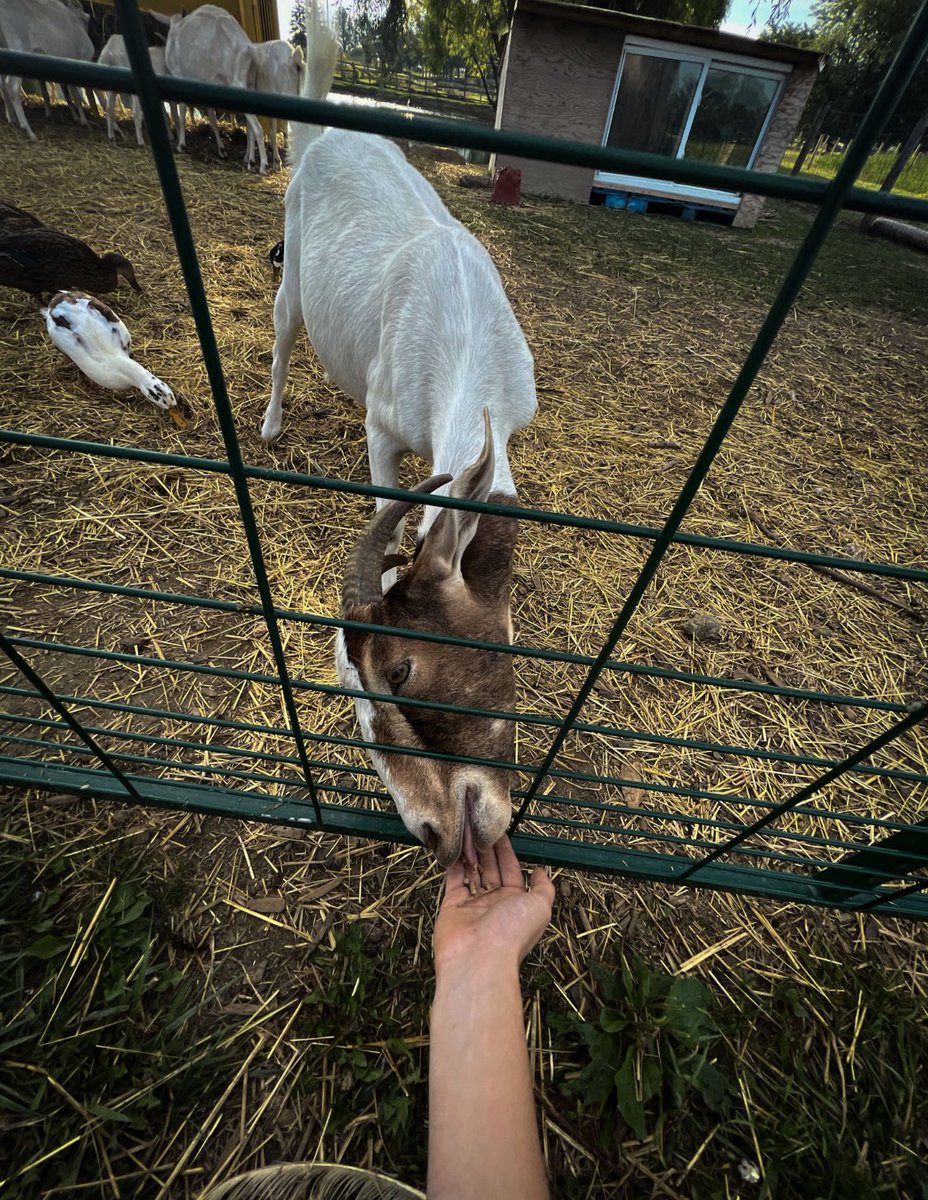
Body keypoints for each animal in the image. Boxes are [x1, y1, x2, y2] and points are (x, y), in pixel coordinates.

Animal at [0, 0, 94, 141]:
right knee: (12, 85)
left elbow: (59, 92)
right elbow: (77, 94)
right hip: (18, 48)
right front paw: (83, 120)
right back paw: (28, 129)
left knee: (3, 84)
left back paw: (12, 119)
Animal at [164, 4, 267, 174]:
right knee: (251, 126)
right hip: (249, 83)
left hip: (237, 82)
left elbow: (183, 112)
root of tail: (247, 47)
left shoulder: (181, 78)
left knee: (257, 128)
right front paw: (221, 149)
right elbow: (212, 118)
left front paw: (181, 145)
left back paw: (262, 165)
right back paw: (250, 160)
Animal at [261, 6, 537, 873]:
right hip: (291, 275)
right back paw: (269, 425)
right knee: (281, 338)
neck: (464, 329)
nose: (433, 831)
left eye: (404, 668)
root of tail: (324, 137)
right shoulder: (384, 427)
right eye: (353, 698)